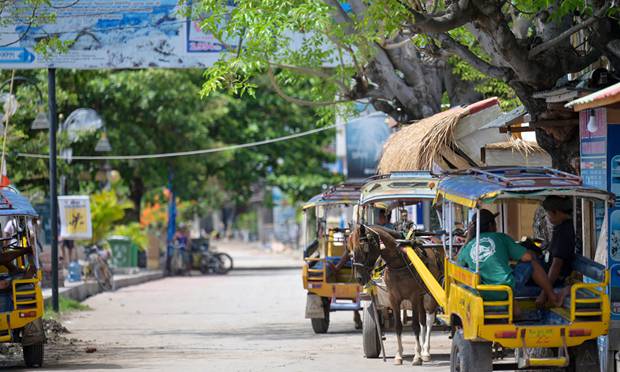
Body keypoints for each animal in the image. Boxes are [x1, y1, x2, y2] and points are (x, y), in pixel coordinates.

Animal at [352, 224, 444, 366]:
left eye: (364, 248)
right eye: (352, 248)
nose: (359, 278)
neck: (400, 263)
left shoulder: (414, 296)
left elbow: (415, 326)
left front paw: (417, 356)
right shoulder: (394, 298)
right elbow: (398, 326)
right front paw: (399, 355)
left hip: (431, 295)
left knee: (428, 320)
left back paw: (425, 351)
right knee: (423, 320)